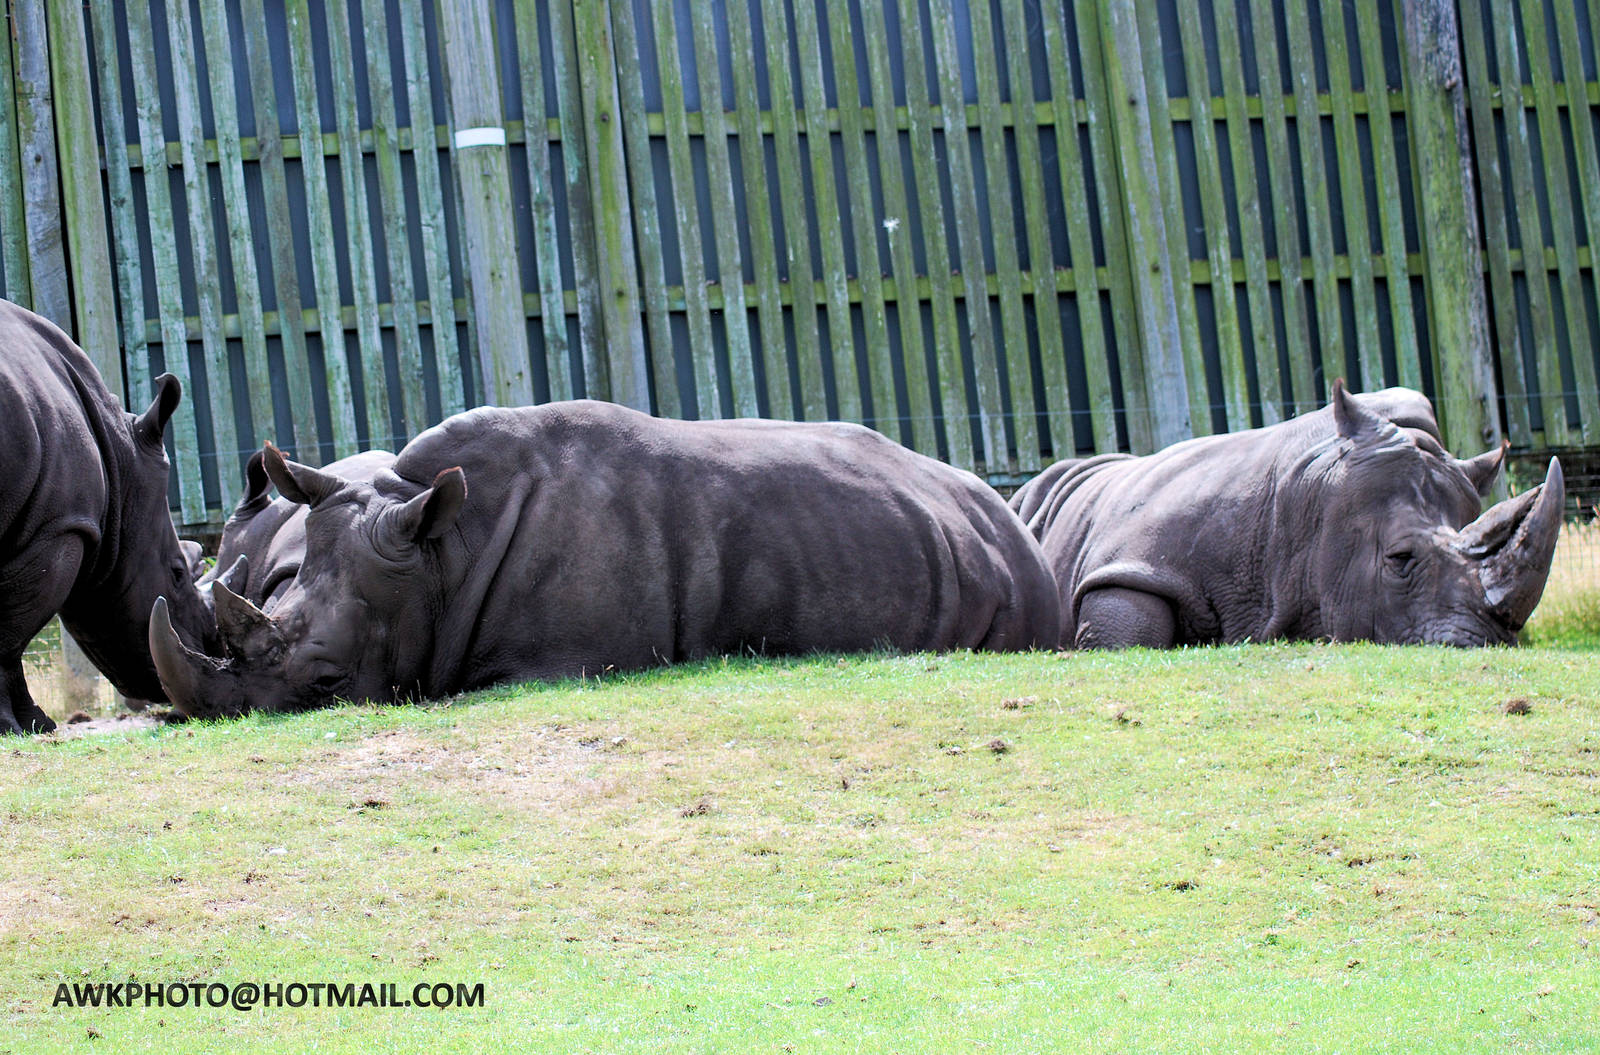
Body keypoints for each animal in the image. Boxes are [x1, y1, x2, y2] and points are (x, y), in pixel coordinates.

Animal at [0, 300, 218, 733]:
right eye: (178, 573)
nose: (208, 650)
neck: (119, 462)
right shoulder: (58, 526)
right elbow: (9, 633)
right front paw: (20, 725)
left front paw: (36, 725)